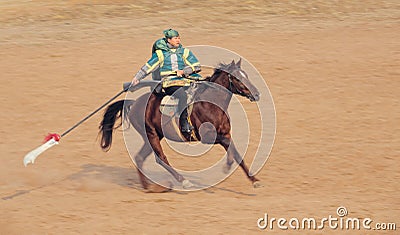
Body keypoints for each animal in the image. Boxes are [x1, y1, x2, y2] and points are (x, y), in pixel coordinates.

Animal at [99, 58, 262, 191]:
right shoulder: (208, 137)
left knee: (140, 158)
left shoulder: (225, 133)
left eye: (246, 75)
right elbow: (230, 148)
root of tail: (133, 103)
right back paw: (183, 181)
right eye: (237, 78)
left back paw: (147, 186)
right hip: (151, 134)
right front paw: (228, 165)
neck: (210, 104)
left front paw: (254, 180)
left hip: (153, 136)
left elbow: (237, 153)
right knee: (160, 158)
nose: (257, 94)